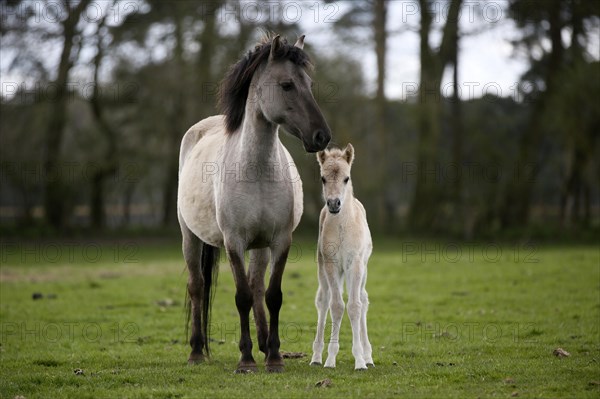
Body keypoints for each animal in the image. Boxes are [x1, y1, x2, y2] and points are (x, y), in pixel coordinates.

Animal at [178, 35, 330, 376]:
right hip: (190, 237)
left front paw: (273, 357)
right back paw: (196, 351)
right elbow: (242, 297)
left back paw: (263, 344)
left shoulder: (280, 240)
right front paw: (245, 359)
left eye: (310, 84)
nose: (322, 136)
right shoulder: (234, 242)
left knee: (258, 285)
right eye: (287, 85)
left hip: (259, 246)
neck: (256, 169)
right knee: (197, 286)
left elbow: (272, 295)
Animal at [310, 145, 376, 372]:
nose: (333, 203)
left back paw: (368, 355)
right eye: (323, 178)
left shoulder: (355, 264)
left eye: (346, 178)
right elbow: (337, 306)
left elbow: (355, 306)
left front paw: (360, 361)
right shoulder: (332, 265)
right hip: (324, 268)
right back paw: (316, 356)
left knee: (363, 299)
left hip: (362, 269)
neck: (341, 228)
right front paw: (330, 359)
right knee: (324, 300)